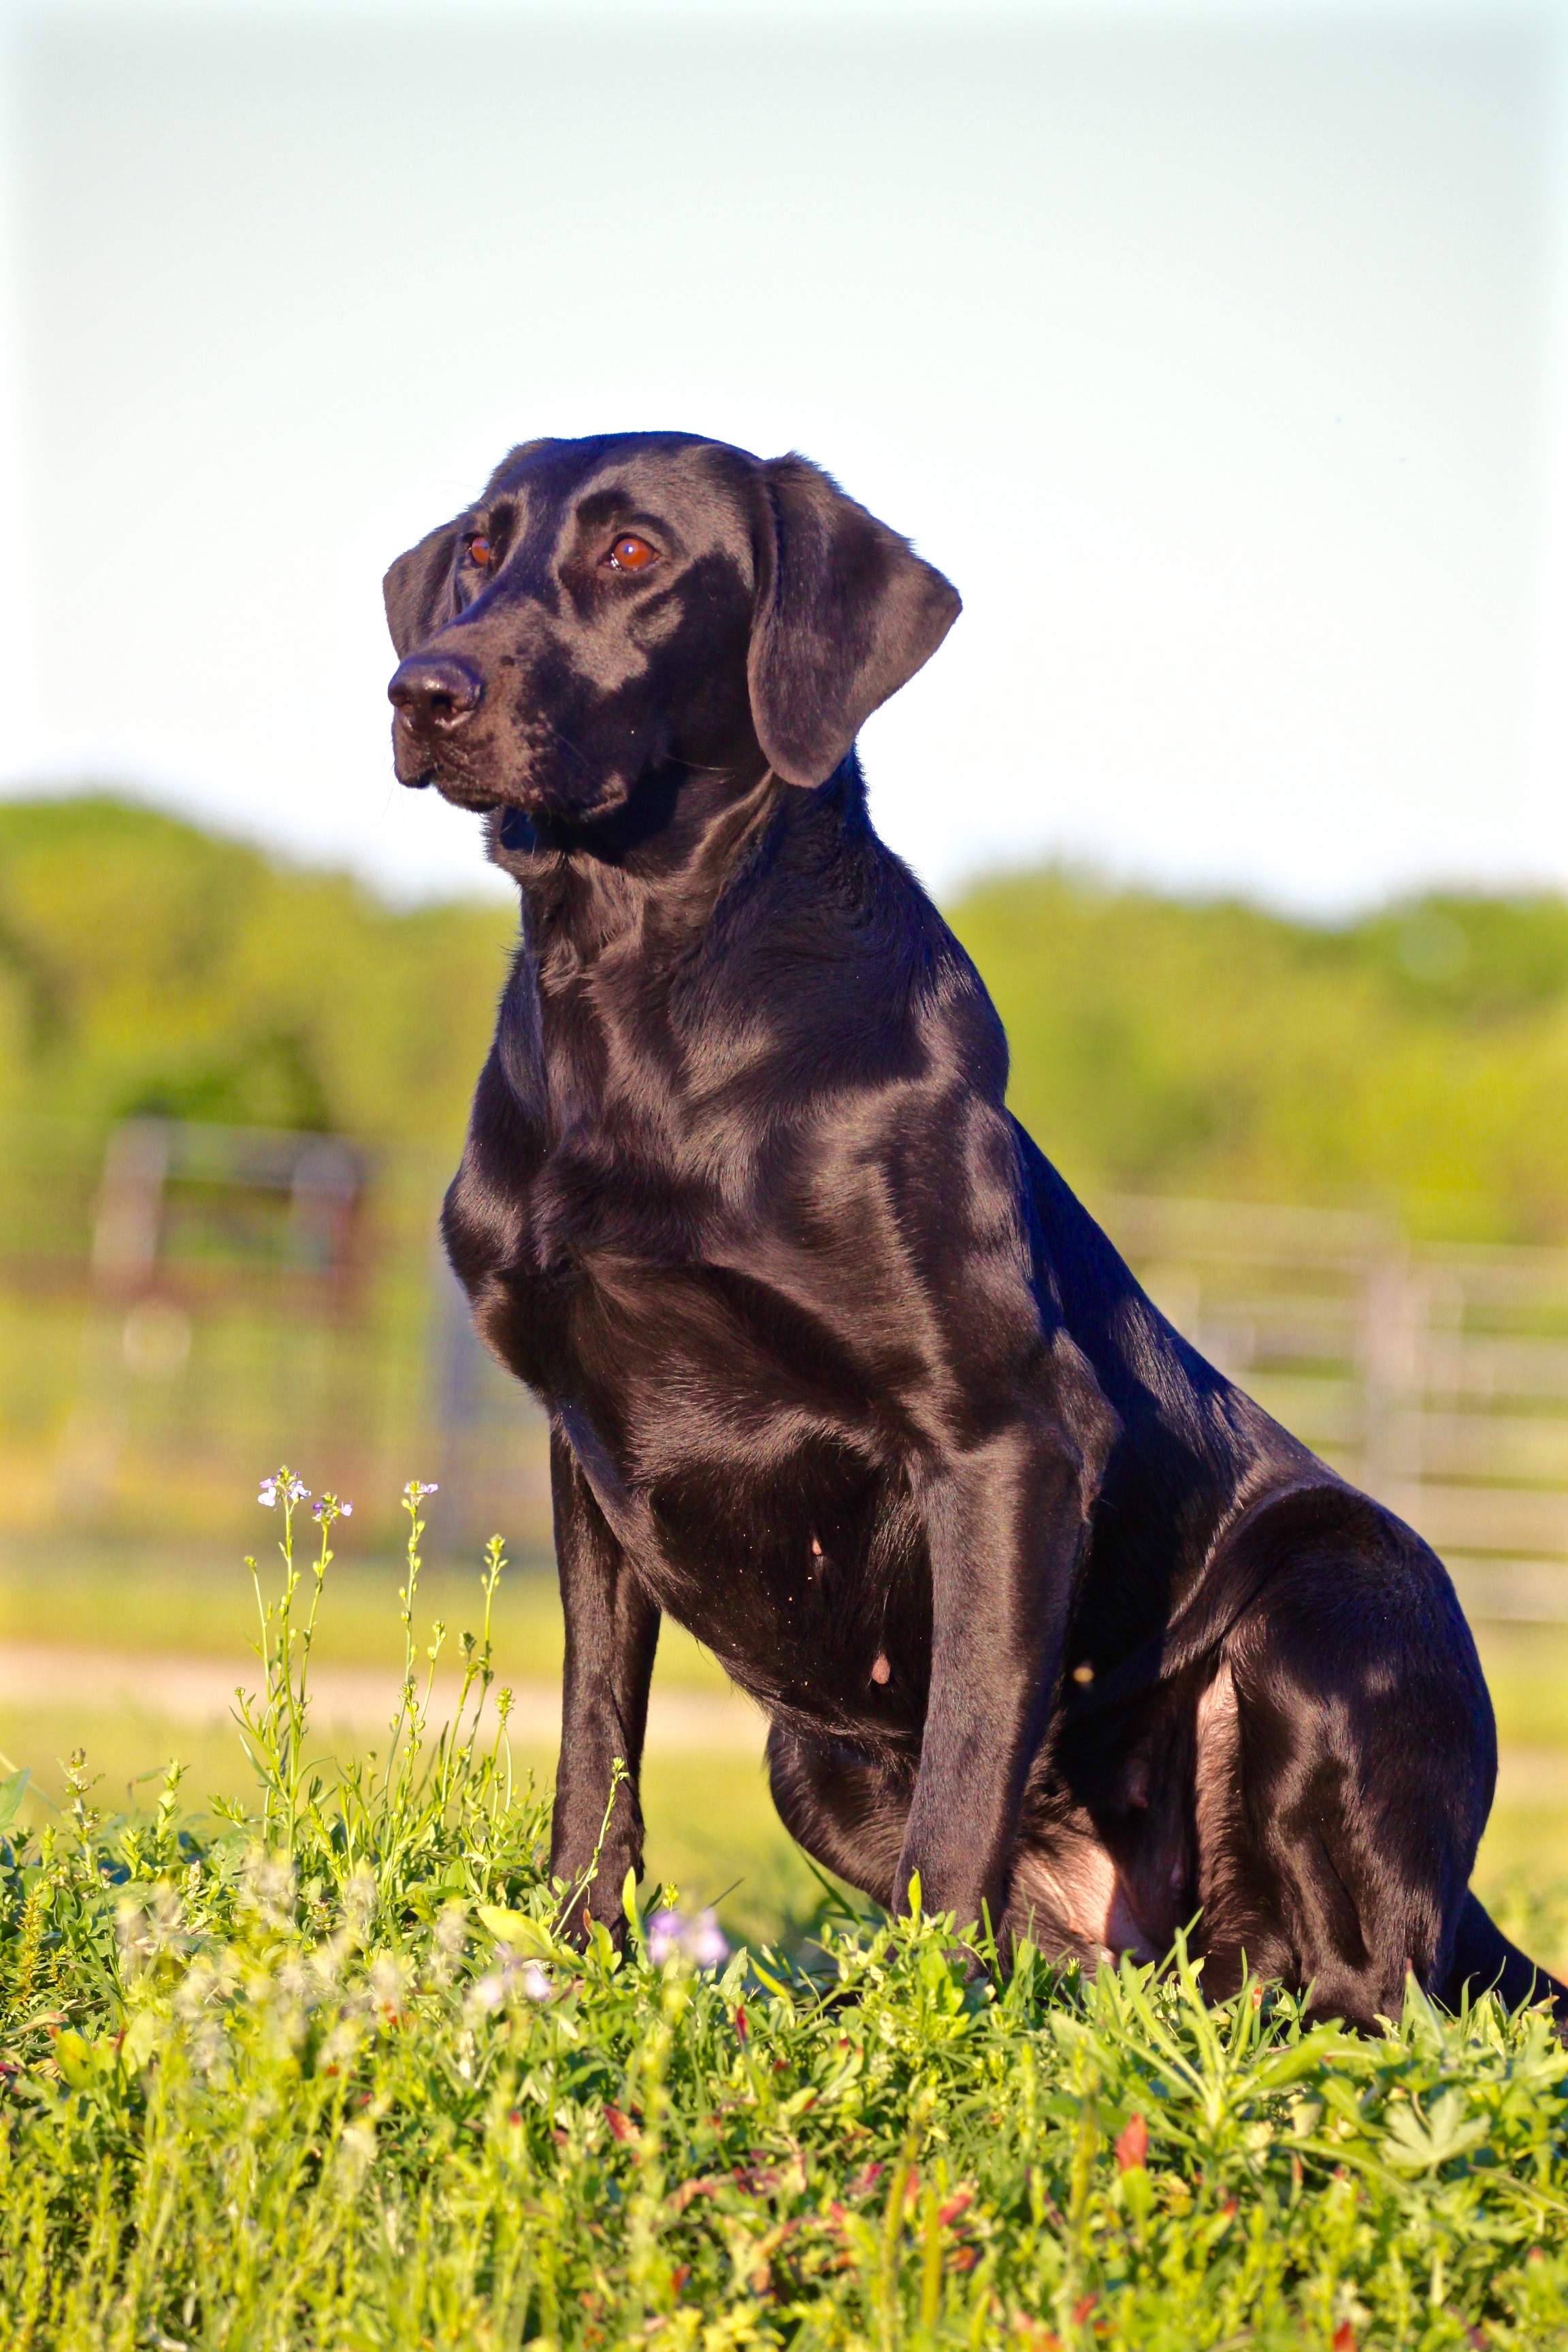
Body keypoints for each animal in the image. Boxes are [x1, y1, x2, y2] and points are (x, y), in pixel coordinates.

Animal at [385, 432, 1561, 2031]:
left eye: (632, 555)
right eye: (478, 550)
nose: (421, 688)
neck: (639, 991)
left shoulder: (1004, 1440)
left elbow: (960, 1784)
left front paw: (902, 2032)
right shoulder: (588, 1443)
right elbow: (593, 1745)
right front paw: (570, 1965)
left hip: (1342, 1596)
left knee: (1373, 1995)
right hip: (815, 1763)